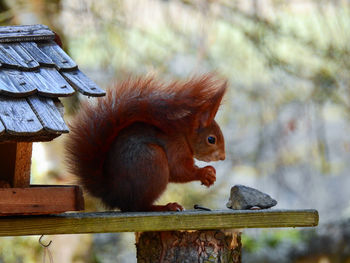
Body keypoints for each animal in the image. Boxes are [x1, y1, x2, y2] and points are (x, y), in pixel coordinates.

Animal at [66, 75, 227, 212]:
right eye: (211, 139)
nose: (223, 157)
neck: (184, 135)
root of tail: (112, 193)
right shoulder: (175, 147)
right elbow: (179, 170)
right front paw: (204, 173)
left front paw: (210, 172)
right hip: (153, 162)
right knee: (138, 206)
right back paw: (165, 207)